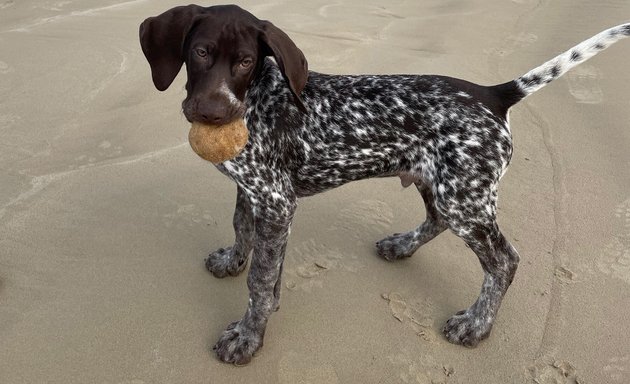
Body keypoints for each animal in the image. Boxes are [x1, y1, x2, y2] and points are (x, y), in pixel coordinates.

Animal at [139, 4, 630, 364]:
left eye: (245, 61)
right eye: (200, 52)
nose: (211, 112)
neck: (259, 98)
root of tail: (493, 94)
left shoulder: (277, 202)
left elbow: (261, 281)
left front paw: (248, 336)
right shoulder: (253, 190)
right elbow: (243, 230)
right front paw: (233, 261)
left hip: (465, 200)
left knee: (504, 262)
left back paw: (476, 325)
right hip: (440, 184)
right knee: (435, 220)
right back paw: (402, 246)